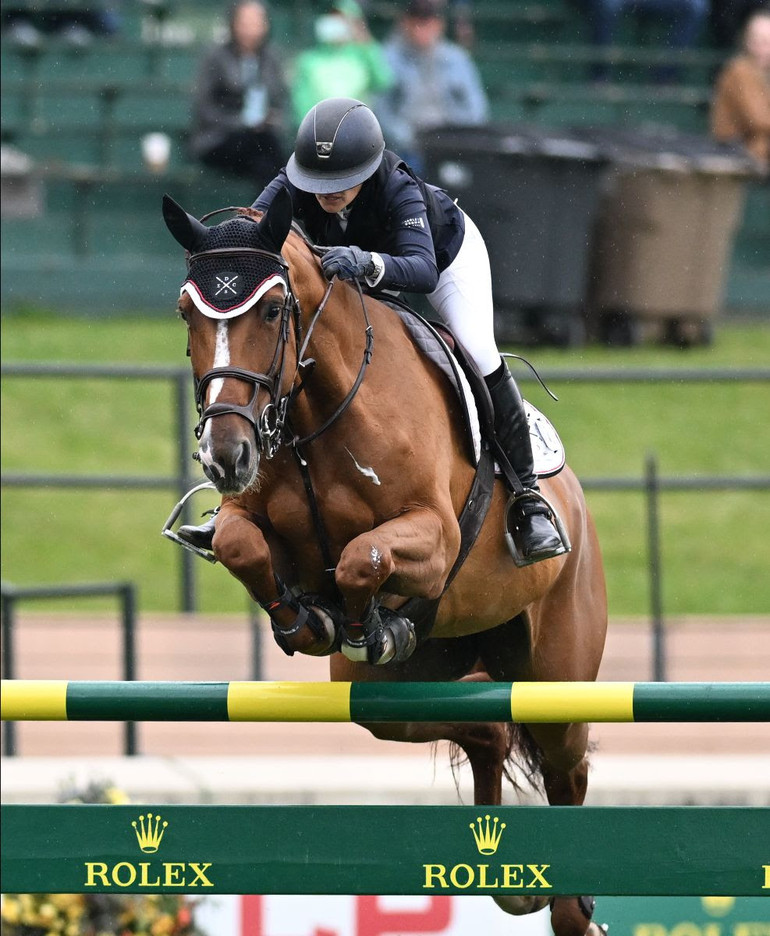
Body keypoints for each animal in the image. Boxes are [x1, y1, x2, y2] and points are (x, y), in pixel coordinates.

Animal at [162, 190, 608, 936]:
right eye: (187, 312)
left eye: (273, 311)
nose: (224, 456)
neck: (314, 415)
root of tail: (574, 500)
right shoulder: (247, 518)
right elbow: (239, 544)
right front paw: (309, 621)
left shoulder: (433, 537)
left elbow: (359, 558)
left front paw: (359, 618)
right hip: (395, 694)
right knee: (486, 728)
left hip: (557, 679)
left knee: (564, 765)